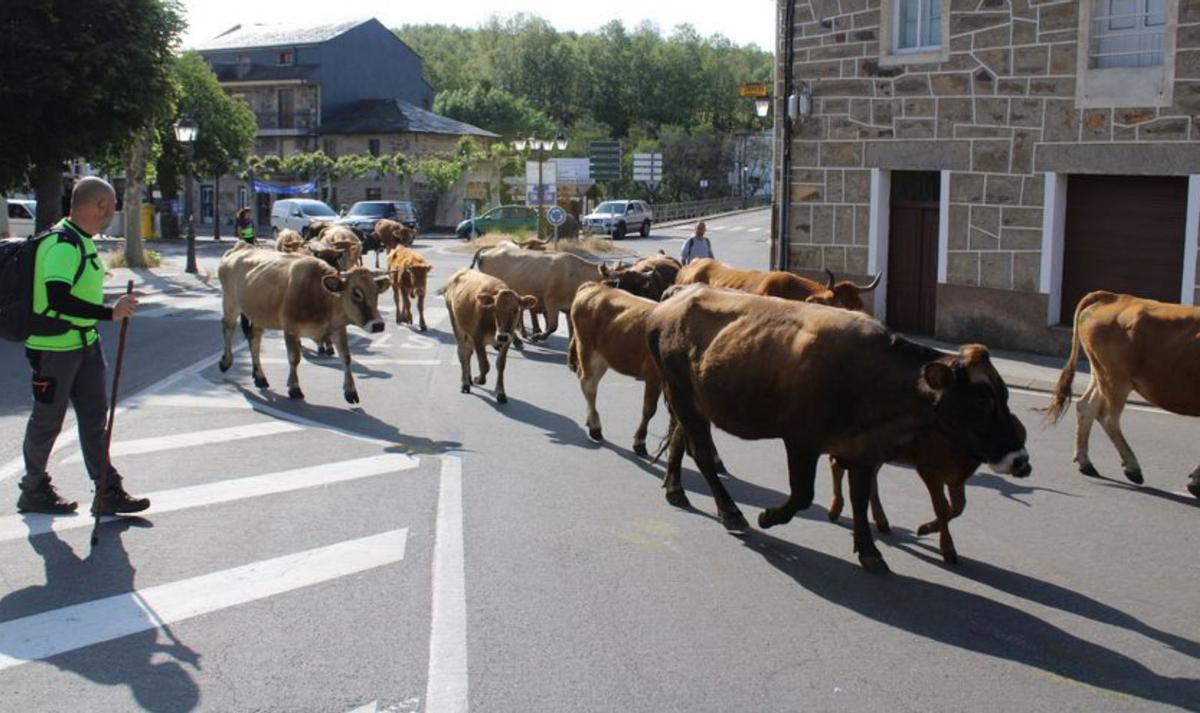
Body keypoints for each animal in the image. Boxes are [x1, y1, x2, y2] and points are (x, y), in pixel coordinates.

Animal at [218, 241, 391, 403]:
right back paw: (226, 362)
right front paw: (294, 388)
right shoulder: (290, 329)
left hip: (259, 313)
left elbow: (346, 358)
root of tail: (241, 247)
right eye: (356, 294)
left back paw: (260, 376)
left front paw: (351, 391)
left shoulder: (338, 328)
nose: (378, 325)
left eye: (376, 292)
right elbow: (294, 358)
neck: (320, 295)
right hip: (230, 302)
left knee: (254, 340)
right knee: (228, 328)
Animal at [441, 266, 535, 403]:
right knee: (463, 353)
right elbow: (485, 365)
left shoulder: (507, 341)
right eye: (495, 309)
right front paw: (479, 379)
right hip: (456, 324)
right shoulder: (478, 338)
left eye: (516, 310)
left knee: (468, 353)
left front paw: (500, 393)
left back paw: (469, 379)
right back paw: (465, 383)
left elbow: (500, 365)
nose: (502, 336)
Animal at [468, 238, 600, 338]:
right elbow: (552, 326)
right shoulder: (551, 302)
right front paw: (537, 335)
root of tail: (486, 253)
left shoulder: (568, 308)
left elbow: (572, 332)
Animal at [1041, 288, 1200, 494]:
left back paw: (1086, 463)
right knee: (1108, 417)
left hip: (1100, 373)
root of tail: (1114, 296)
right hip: (1116, 379)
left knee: (1086, 407)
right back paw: (1132, 467)